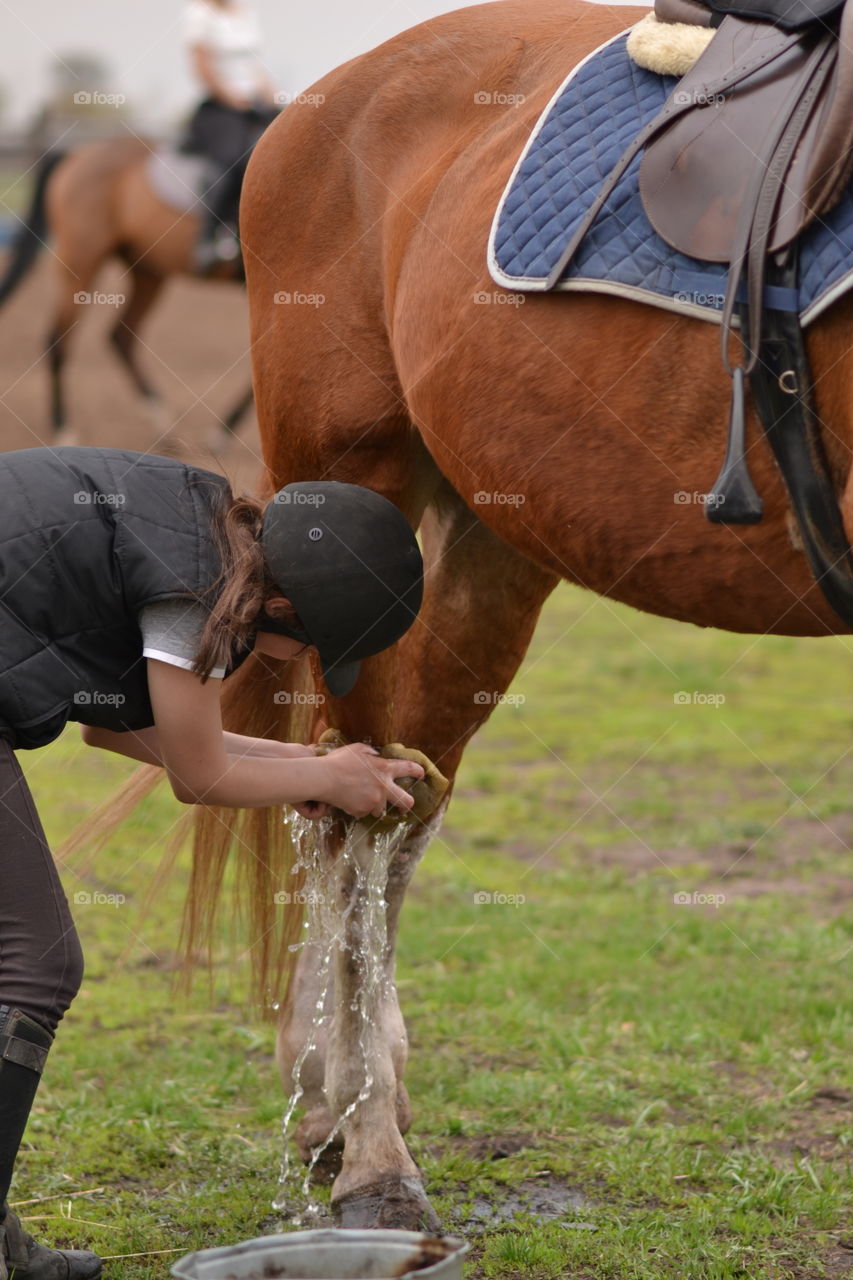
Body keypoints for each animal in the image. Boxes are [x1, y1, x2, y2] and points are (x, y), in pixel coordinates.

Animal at [0, 141, 254, 446]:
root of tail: (78, 153)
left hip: (147, 273)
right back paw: (64, 429)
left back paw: (162, 422)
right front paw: (223, 432)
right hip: (82, 263)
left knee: (120, 335)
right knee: (58, 340)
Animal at [91, 0, 853, 1235]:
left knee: (409, 787)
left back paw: (339, 1098)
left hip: (489, 540)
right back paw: (370, 1147)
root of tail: (327, 96)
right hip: (353, 498)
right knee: (346, 803)